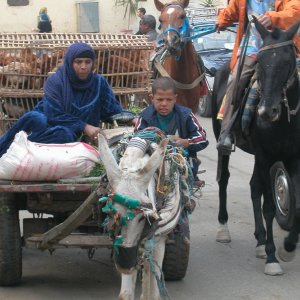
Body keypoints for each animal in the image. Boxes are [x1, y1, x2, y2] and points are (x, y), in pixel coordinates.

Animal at [211, 18, 300, 276]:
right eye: (260, 62)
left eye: (287, 61)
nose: (266, 111)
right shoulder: (266, 156)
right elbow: (269, 206)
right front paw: (272, 256)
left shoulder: (293, 158)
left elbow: (297, 203)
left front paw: (288, 247)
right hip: (225, 139)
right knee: (225, 179)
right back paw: (224, 228)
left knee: (253, 187)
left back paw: (260, 240)